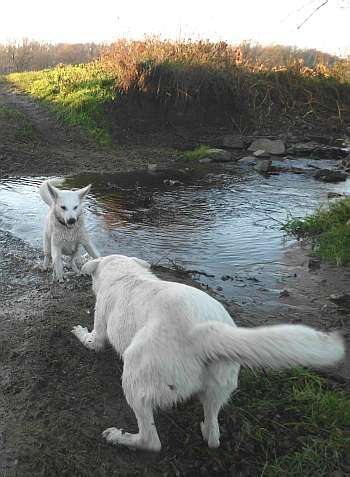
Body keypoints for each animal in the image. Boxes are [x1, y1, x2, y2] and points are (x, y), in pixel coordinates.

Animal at [71, 253, 344, 450]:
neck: (127, 276)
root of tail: (202, 334)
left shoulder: (100, 325)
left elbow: (92, 340)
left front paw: (78, 331)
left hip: (135, 377)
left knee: (152, 441)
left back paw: (120, 437)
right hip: (218, 388)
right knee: (214, 435)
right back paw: (205, 429)